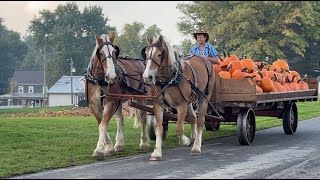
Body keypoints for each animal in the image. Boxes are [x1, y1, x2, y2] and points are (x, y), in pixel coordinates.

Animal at [85, 31, 150, 160]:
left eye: (115, 52)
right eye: (100, 53)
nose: (112, 76)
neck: (99, 80)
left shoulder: (111, 102)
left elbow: (103, 125)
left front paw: (99, 149)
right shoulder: (94, 105)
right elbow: (101, 124)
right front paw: (109, 147)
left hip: (141, 97)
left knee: (143, 117)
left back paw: (144, 143)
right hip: (119, 101)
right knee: (120, 119)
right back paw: (119, 144)